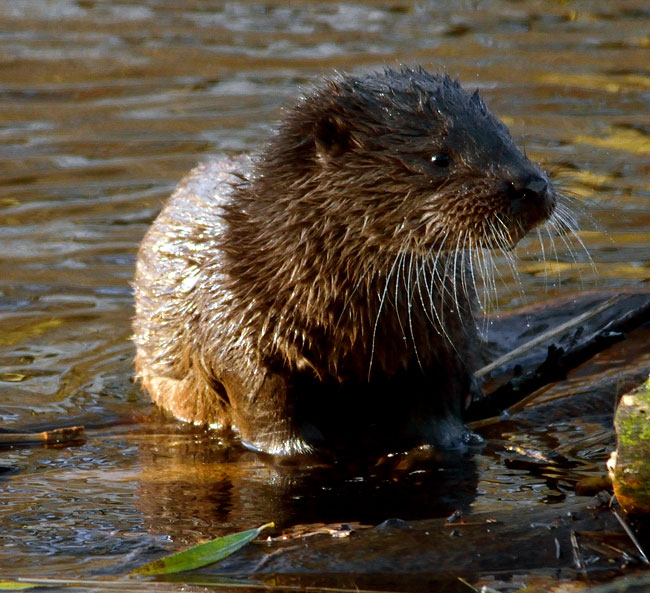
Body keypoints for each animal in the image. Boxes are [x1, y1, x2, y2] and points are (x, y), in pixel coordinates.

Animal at [133, 67, 557, 456]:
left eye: (505, 137)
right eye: (439, 157)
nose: (530, 185)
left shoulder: (442, 323)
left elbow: (440, 391)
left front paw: (454, 441)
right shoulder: (236, 324)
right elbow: (261, 400)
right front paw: (291, 450)